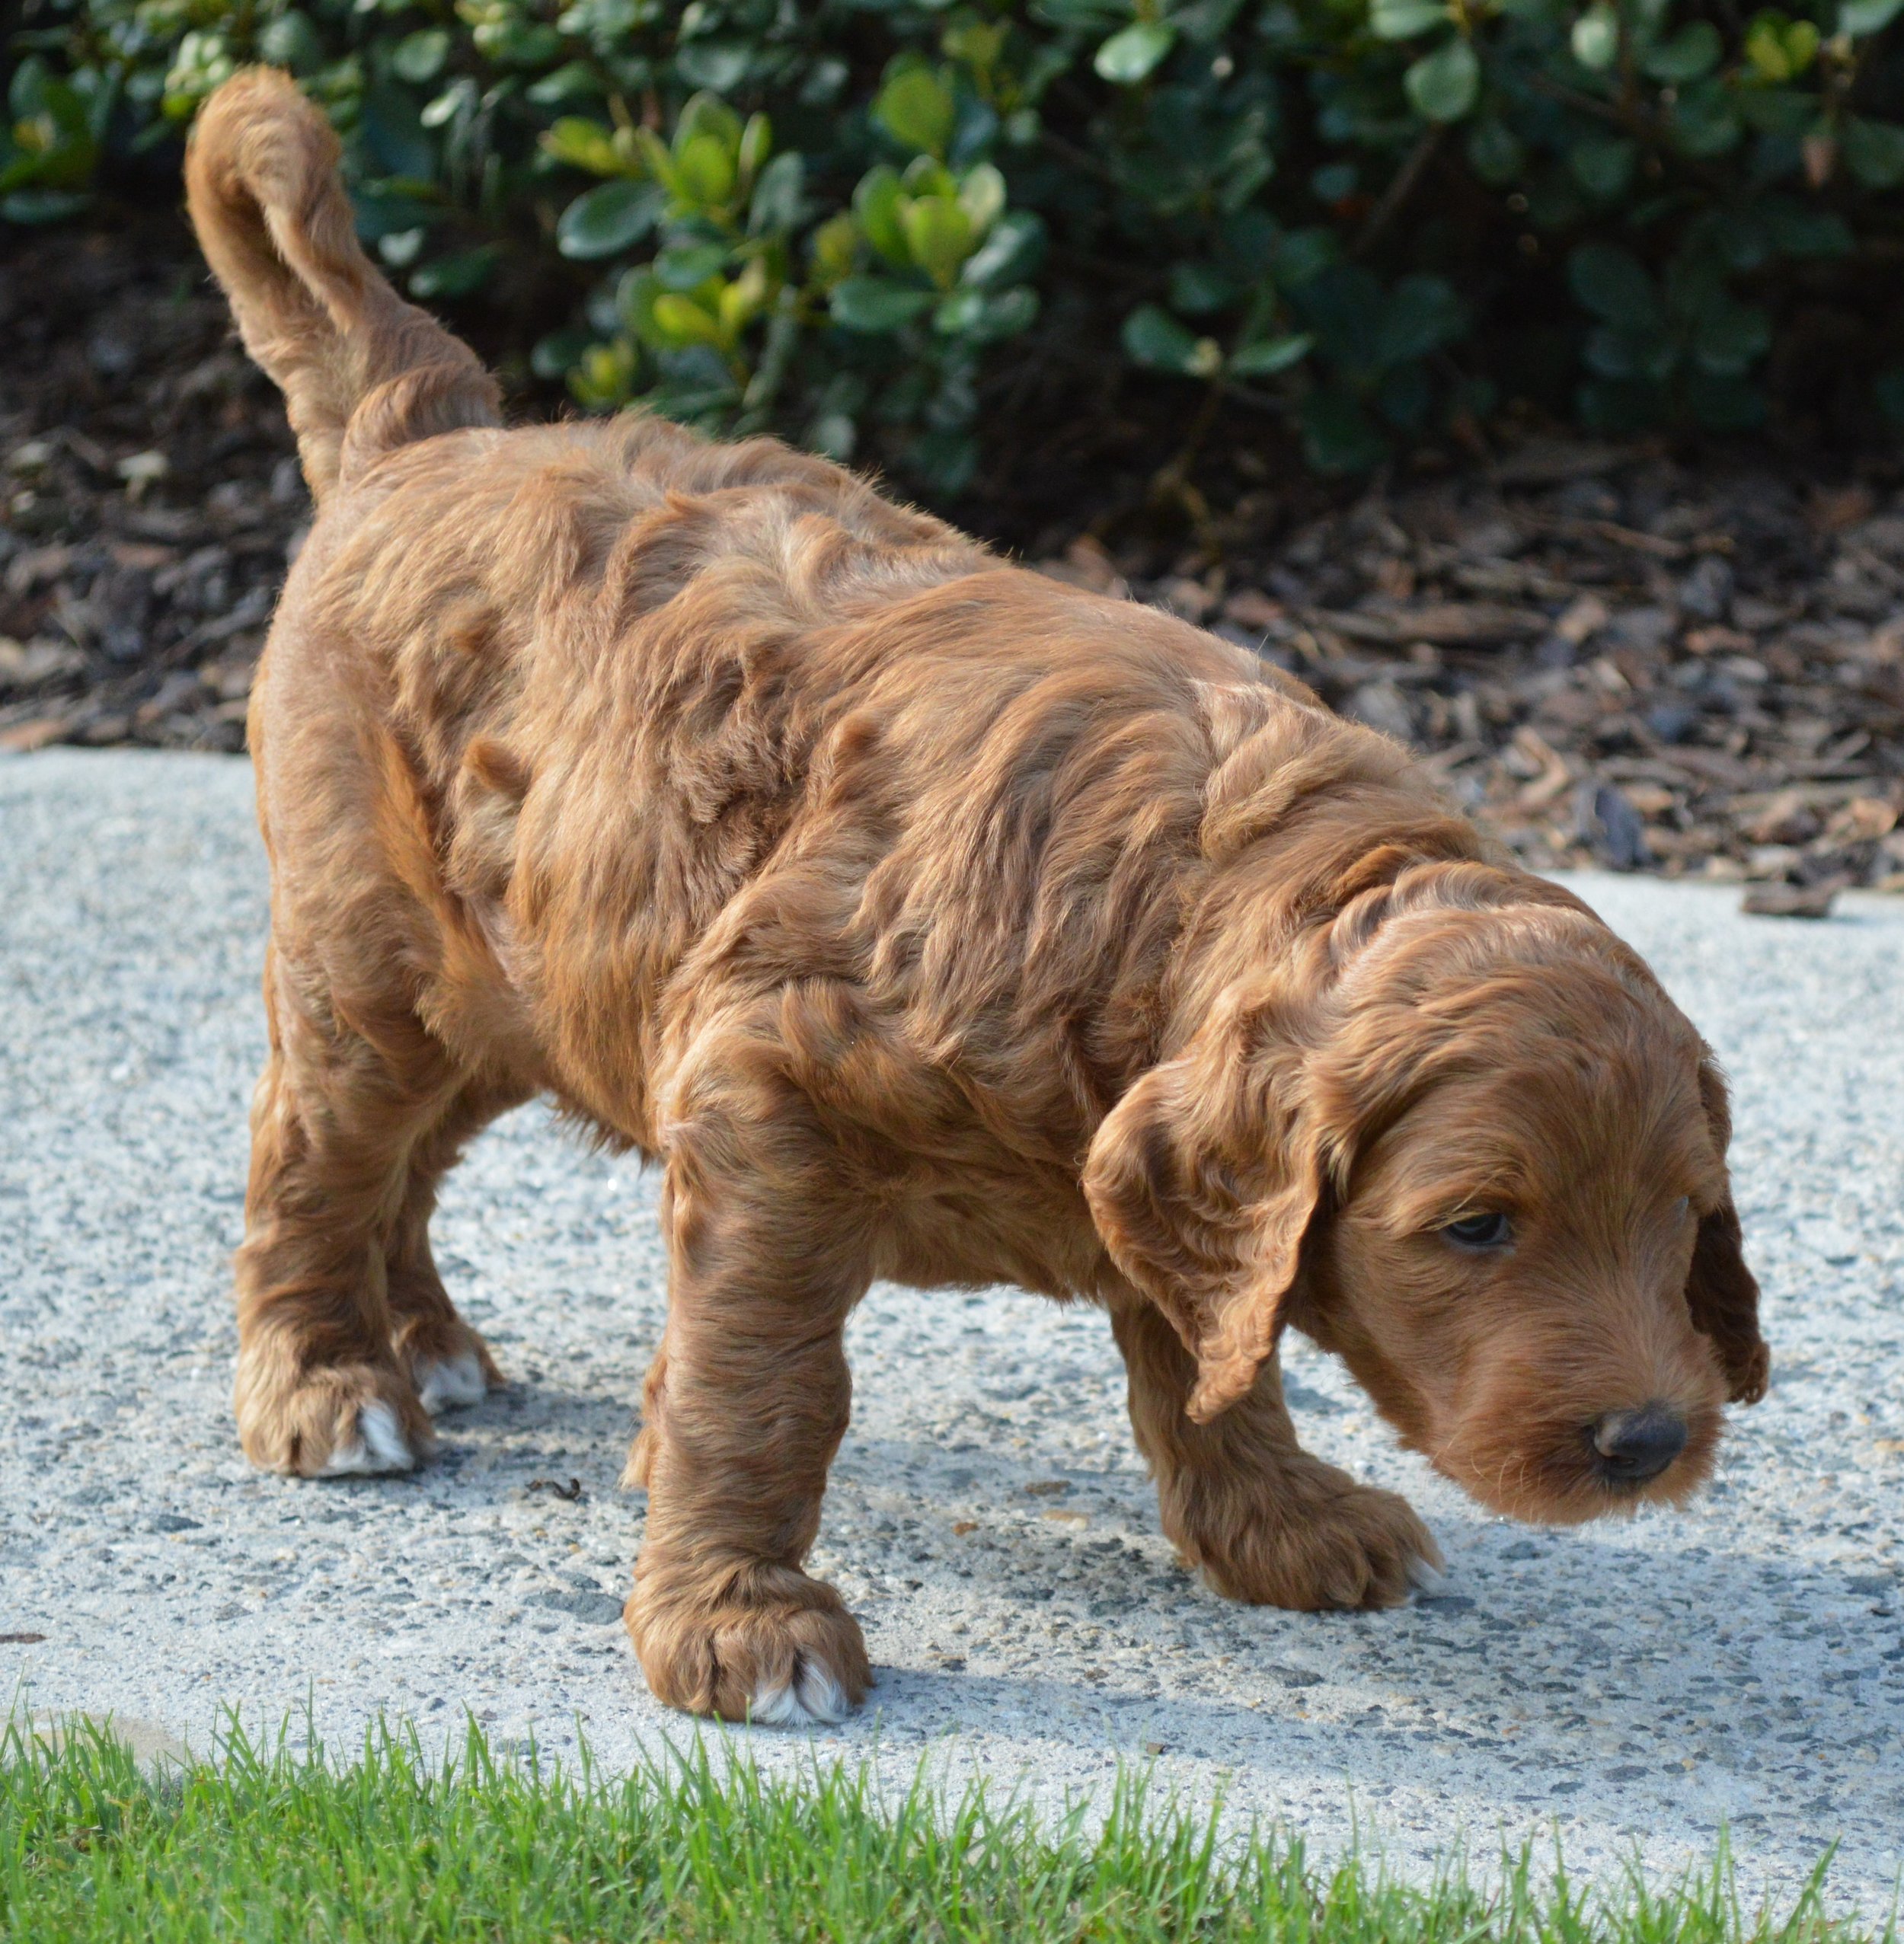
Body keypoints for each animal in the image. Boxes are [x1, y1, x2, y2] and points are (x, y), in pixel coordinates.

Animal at [185, 68, 1765, 1726]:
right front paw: (738, 1617)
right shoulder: (765, 1089)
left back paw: (426, 1338)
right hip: (373, 949)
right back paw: (329, 1381)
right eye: (1473, 1226)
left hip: (520, 975)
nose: (1648, 1442)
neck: (1171, 895)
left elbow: (1205, 1352)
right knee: (315, 1149)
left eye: (1680, 1217)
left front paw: (1277, 1522)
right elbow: (766, 1379)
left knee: (412, 1151)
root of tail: (425, 429)